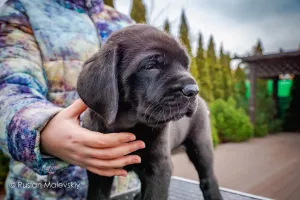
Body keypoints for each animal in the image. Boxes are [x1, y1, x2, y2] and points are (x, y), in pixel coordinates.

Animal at [77, 24, 223, 199]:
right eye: (150, 66)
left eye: (185, 66)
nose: (193, 90)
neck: (128, 125)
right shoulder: (100, 170)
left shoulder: (159, 167)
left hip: (201, 144)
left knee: (208, 177)